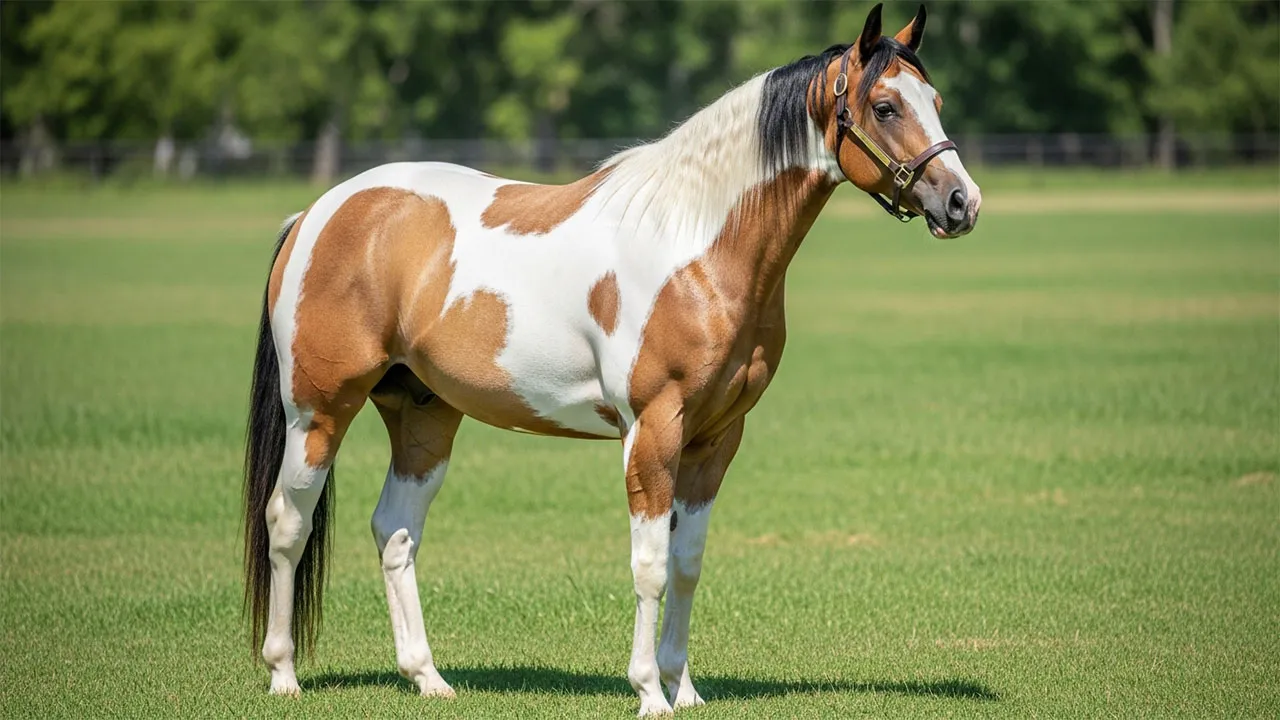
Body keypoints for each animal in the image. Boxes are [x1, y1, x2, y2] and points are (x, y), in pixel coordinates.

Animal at [242, 3, 980, 715]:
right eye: (885, 106)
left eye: (937, 99)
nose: (962, 202)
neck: (696, 245)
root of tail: (319, 214)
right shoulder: (653, 429)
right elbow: (649, 565)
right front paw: (649, 692)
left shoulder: (716, 438)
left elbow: (686, 562)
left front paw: (685, 688)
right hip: (319, 412)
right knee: (287, 522)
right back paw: (283, 675)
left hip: (423, 416)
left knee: (395, 530)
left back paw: (428, 679)